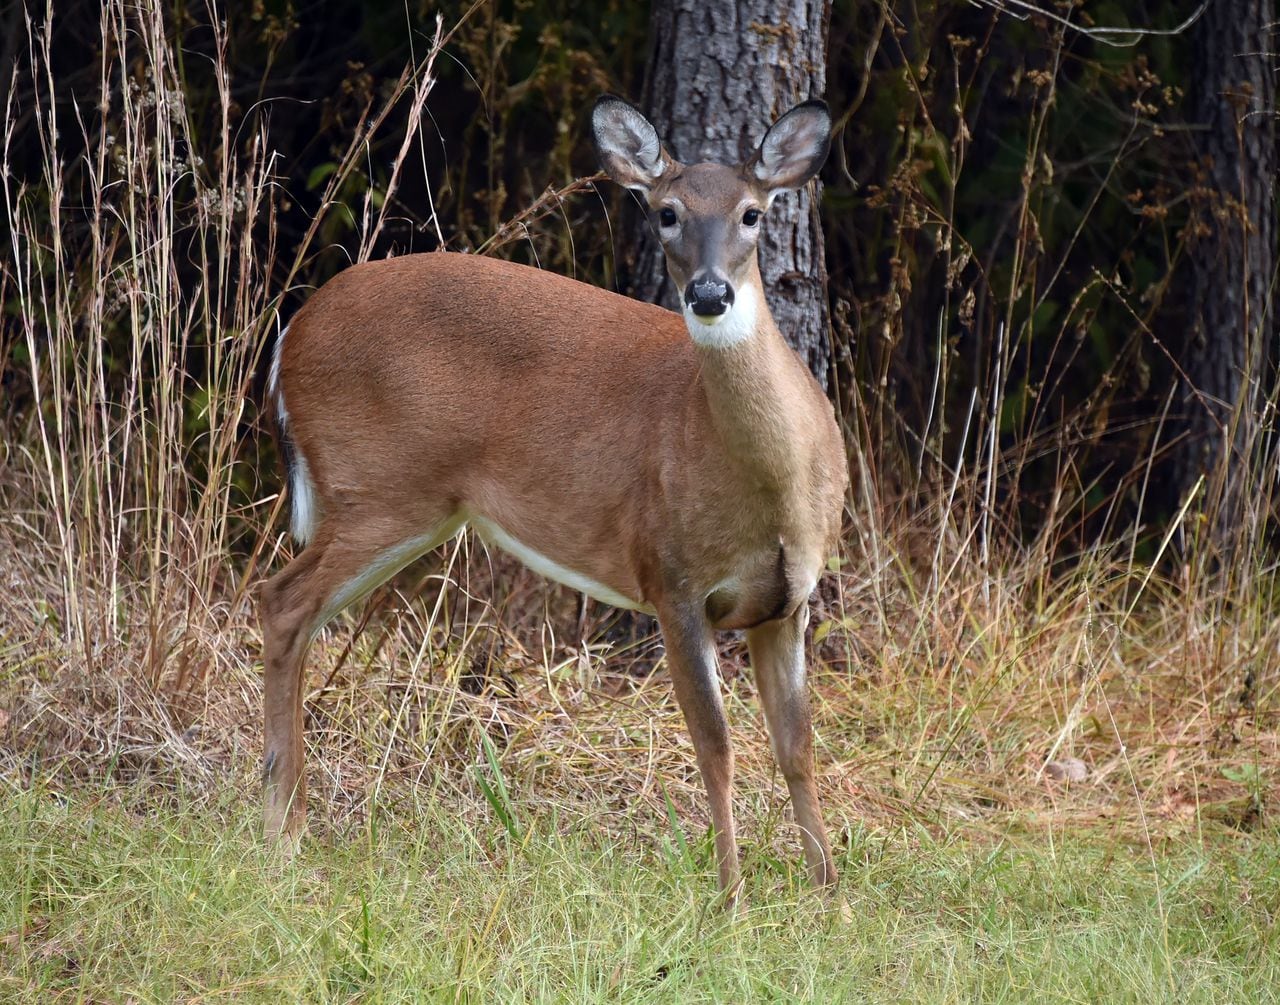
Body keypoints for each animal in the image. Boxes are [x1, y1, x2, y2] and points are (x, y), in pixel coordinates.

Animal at [261, 92, 849, 901]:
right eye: (666, 212)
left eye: (753, 213)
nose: (708, 293)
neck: (770, 485)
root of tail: (290, 333)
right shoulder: (671, 577)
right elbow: (716, 742)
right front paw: (730, 895)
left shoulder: (788, 599)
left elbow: (797, 744)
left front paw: (830, 895)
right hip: (378, 486)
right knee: (283, 601)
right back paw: (283, 833)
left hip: (401, 503)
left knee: (295, 609)